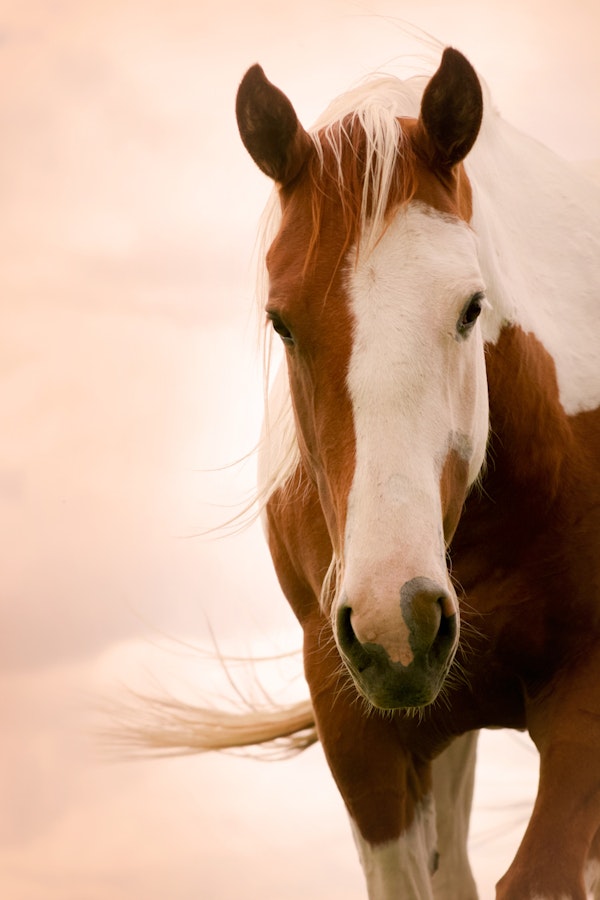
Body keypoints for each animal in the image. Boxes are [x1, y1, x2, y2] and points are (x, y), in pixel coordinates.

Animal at [126, 47, 600, 898]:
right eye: (280, 321)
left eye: (472, 306)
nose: (395, 619)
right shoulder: (361, 733)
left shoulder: (586, 697)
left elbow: (540, 876)